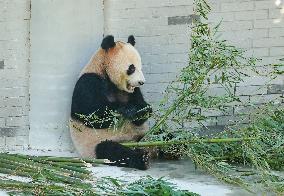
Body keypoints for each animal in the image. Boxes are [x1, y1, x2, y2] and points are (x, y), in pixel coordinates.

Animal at [69, 35, 152, 170]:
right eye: (132, 68)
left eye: (141, 67)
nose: (141, 82)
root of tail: (133, 142)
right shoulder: (88, 82)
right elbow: (91, 115)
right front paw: (128, 109)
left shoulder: (132, 92)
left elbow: (141, 112)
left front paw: (142, 109)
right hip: (96, 144)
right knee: (112, 151)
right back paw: (142, 159)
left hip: (143, 133)